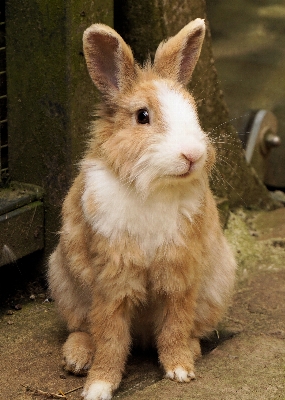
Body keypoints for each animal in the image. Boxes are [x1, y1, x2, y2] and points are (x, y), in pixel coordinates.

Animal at [48, 18, 235, 400]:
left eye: (193, 111)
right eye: (143, 116)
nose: (193, 154)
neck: (153, 186)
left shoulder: (179, 270)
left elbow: (176, 323)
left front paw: (180, 370)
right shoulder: (112, 274)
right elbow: (110, 335)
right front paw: (99, 386)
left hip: (217, 287)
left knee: (189, 329)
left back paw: (190, 350)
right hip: (63, 282)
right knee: (83, 328)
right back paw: (77, 359)